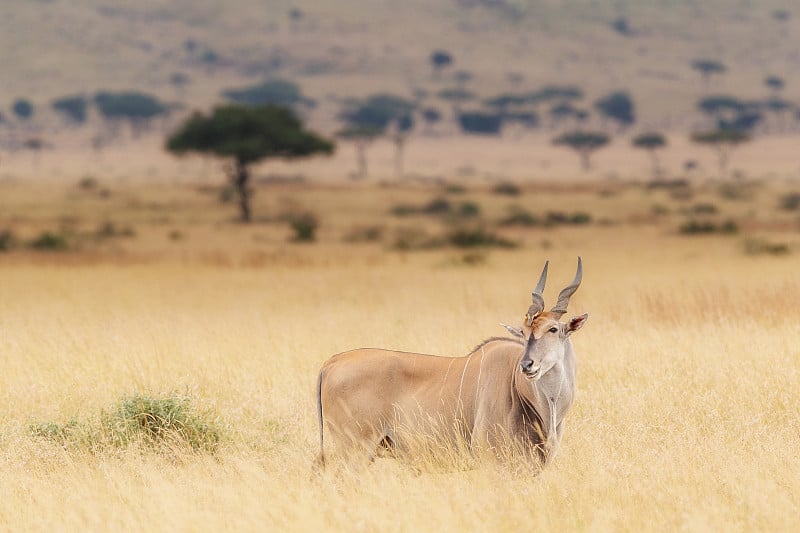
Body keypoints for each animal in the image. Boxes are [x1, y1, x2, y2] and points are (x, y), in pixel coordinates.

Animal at [314, 258, 588, 470]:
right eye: (523, 331)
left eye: (553, 329)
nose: (527, 365)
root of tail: (331, 362)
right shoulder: (492, 460)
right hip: (355, 451)